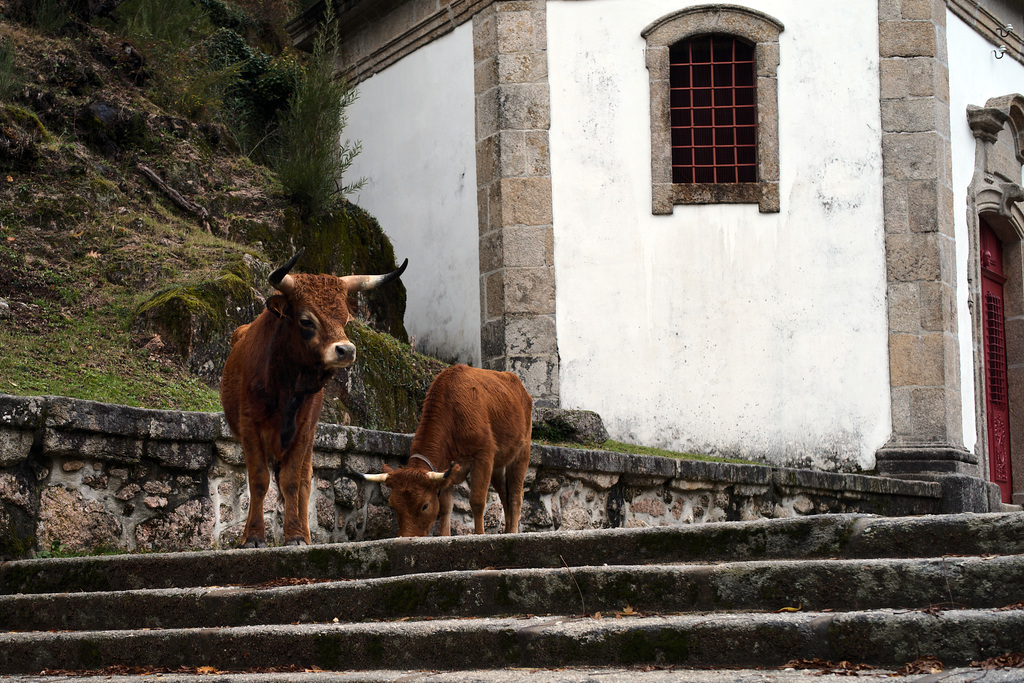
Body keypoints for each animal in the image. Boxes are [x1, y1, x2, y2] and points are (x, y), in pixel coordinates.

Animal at [221, 248, 407, 548]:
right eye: (307, 320)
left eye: (344, 319)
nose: (346, 350)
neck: (284, 383)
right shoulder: (250, 427)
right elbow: (258, 480)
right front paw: (253, 536)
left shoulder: (304, 429)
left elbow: (292, 481)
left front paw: (296, 535)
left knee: (305, 482)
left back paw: (306, 534)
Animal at [360, 366, 532, 536]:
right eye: (393, 505)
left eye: (425, 505)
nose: (407, 537)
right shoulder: (446, 469)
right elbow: (445, 507)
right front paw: (444, 536)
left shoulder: (483, 455)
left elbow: (477, 501)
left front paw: (479, 534)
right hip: (498, 464)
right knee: (504, 493)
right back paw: (508, 531)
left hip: (522, 452)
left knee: (516, 495)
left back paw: (513, 531)